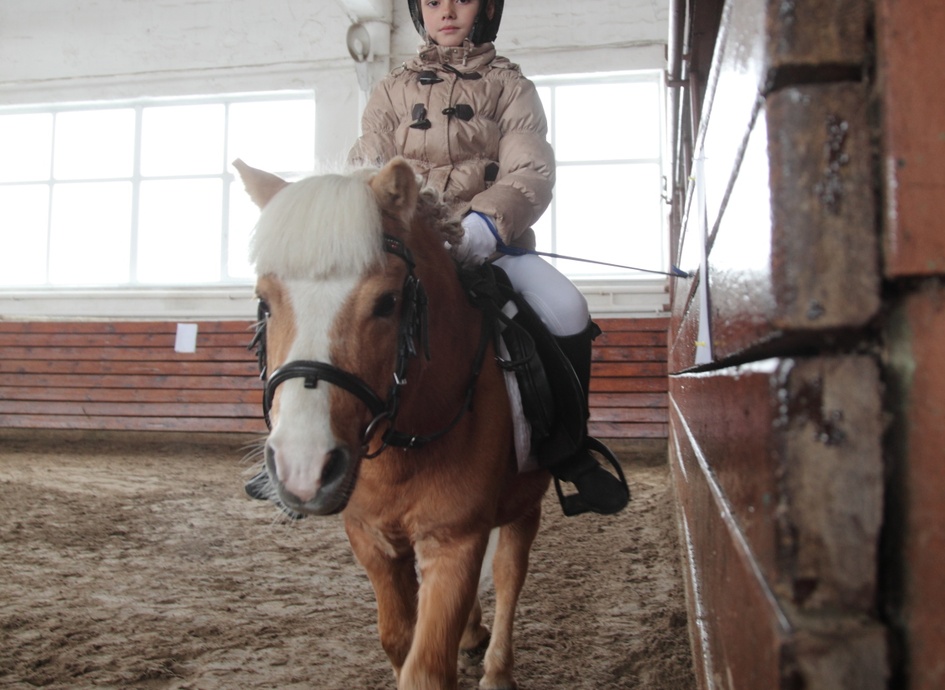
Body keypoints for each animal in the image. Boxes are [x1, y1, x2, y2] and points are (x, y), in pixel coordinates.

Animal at [235, 156, 552, 690]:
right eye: (265, 301)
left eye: (386, 302)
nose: (304, 468)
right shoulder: (371, 538)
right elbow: (397, 639)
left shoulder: (455, 541)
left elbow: (427, 667)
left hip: (525, 500)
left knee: (511, 571)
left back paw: (498, 670)